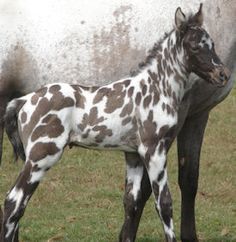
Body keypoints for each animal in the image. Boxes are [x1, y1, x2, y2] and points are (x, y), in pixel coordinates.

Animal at [0, 0, 235, 242]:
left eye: (212, 44)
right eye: (195, 46)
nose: (222, 74)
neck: (155, 87)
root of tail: (24, 101)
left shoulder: (133, 156)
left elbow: (132, 204)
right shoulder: (154, 150)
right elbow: (164, 204)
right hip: (42, 156)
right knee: (13, 202)